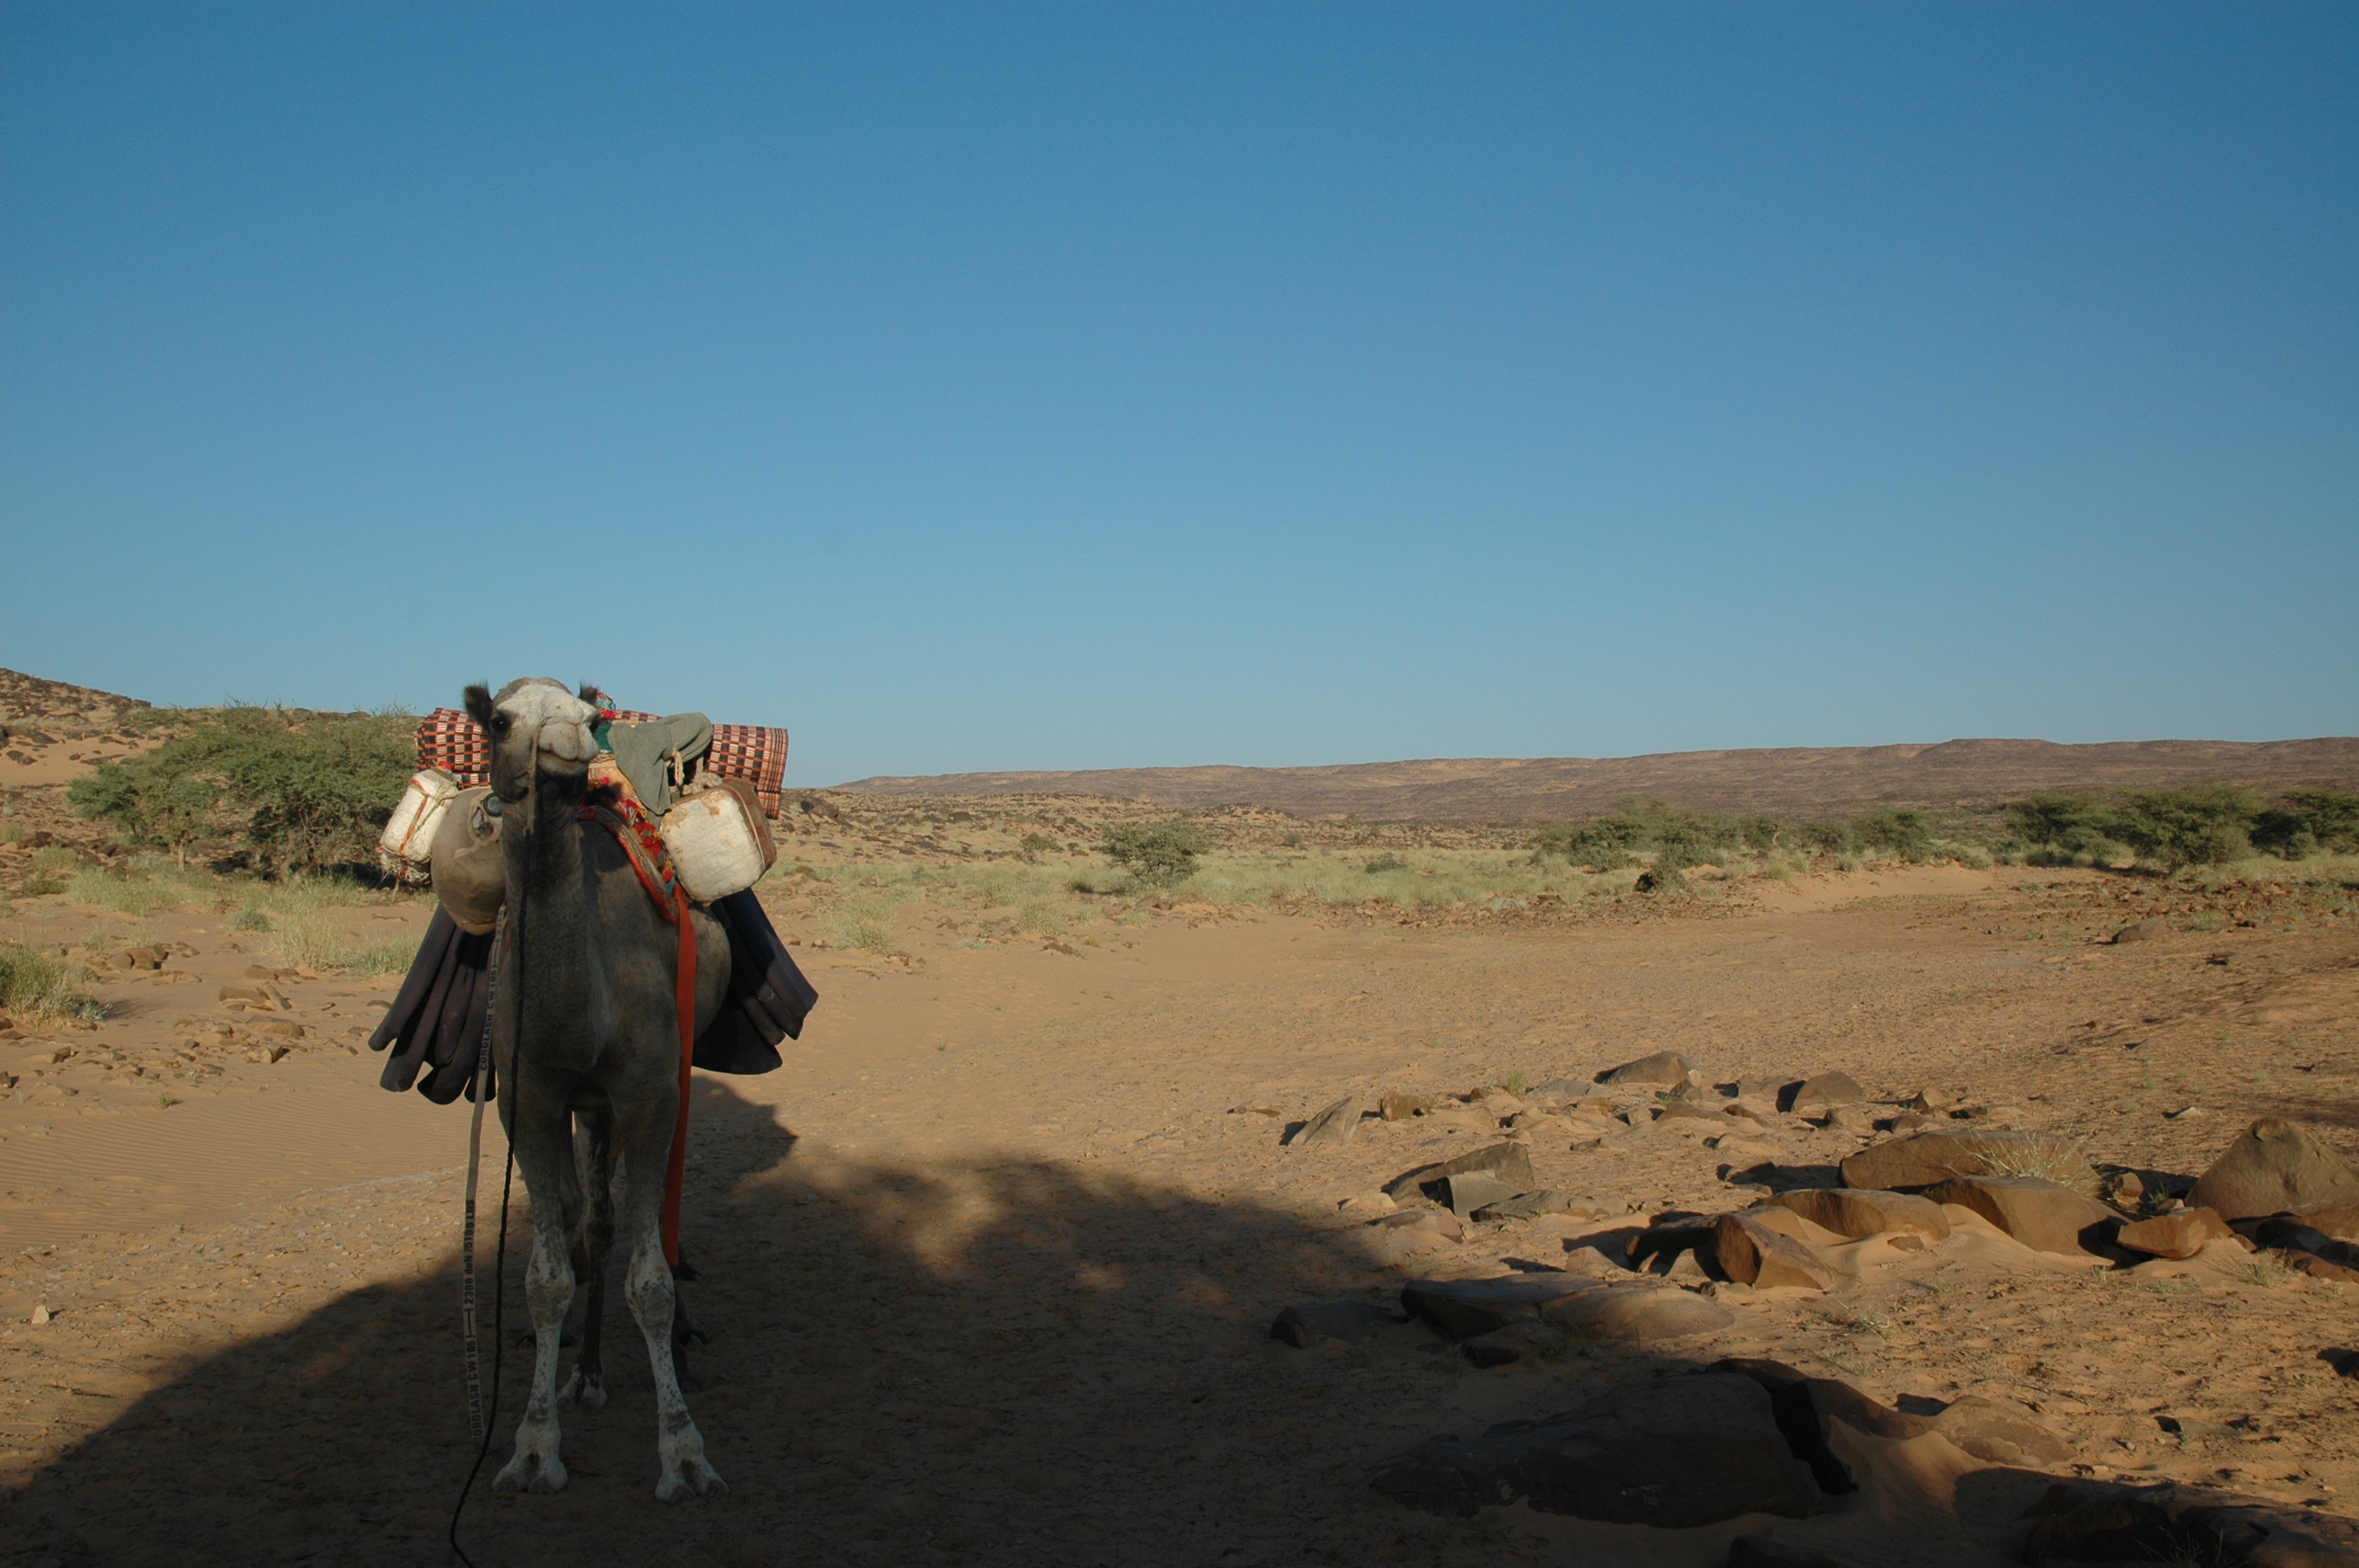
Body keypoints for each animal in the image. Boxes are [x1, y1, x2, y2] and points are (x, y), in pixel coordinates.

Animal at [468, 677, 732, 1503]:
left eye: (590, 717)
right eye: (499, 719)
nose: (569, 746)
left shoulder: (649, 1092)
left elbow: (649, 1284)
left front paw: (682, 1450)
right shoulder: (530, 1101)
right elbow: (547, 1277)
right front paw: (531, 1446)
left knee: (648, 1229)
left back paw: (669, 1348)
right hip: (588, 1109)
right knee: (596, 1223)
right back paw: (580, 1373)